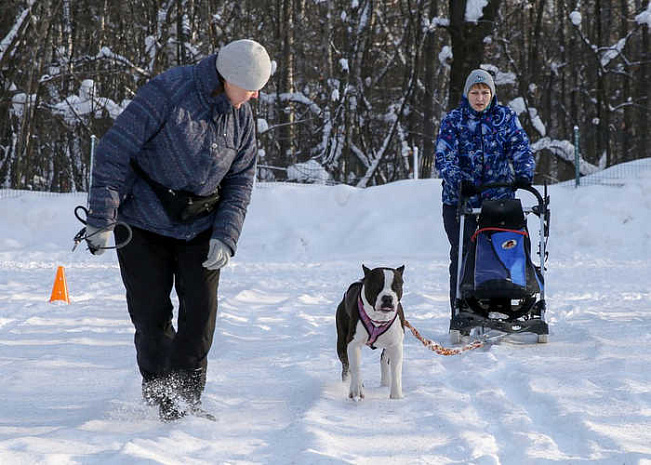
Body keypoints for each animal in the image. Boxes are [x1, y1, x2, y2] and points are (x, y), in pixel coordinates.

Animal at [336, 264, 408, 398]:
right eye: (376, 285)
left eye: (395, 286)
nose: (387, 298)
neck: (378, 319)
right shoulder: (353, 343)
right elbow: (356, 367)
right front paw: (356, 390)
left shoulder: (396, 345)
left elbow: (396, 371)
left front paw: (396, 397)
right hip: (341, 342)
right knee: (346, 366)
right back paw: (347, 383)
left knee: (384, 357)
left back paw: (385, 383)